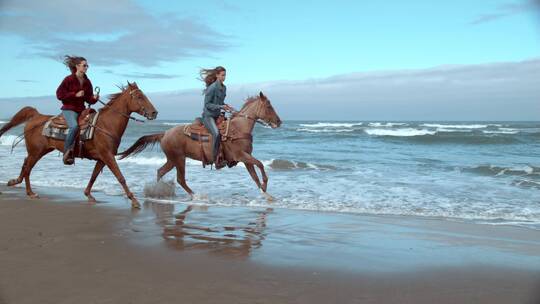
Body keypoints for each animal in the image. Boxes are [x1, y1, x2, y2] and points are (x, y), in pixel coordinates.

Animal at [0, 82, 157, 208]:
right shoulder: (108, 156)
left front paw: (88, 194)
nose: (154, 113)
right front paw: (134, 201)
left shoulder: (102, 158)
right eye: (139, 97)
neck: (106, 125)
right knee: (28, 167)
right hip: (36, 151)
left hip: (40, 151)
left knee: (26, 164)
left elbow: (94, 176)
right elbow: (120, 177)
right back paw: (30, 192)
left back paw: (15, 182)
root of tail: (36, 116)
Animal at [118, 92, 282, 202]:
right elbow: (260, 165)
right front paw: (265, 186)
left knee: (160, 171)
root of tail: (164, 133)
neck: (239, 128)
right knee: (180, 179)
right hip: (179, 159)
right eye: (268, 106)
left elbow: (254, 176)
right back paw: (195, 196)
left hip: (172, 159)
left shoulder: (246, 159)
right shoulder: (241, 156)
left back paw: (158, 191)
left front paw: (267, 194)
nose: (279, 122)